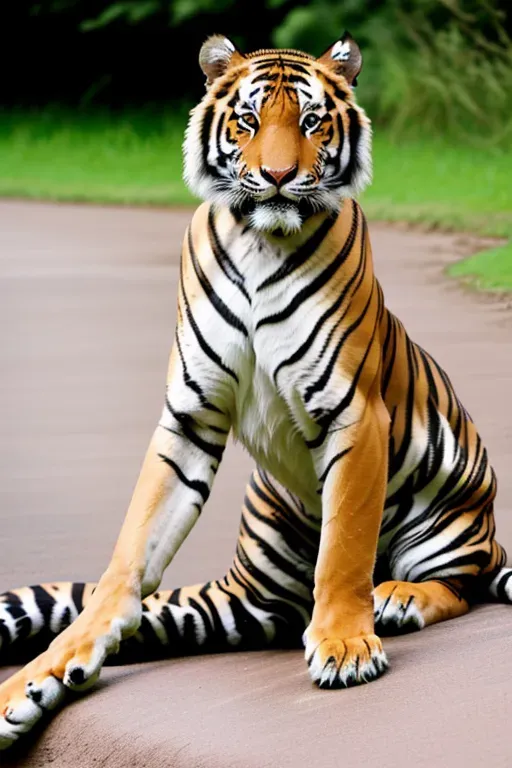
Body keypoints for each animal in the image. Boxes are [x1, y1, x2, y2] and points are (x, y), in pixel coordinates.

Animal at [0, 31, 511, 750]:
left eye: (312, 122)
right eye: (247, 120)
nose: (275, 176)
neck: (259, 243)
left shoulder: (352, 410)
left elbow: (344, 547)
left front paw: (344, 644)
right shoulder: (189, 416)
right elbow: (127, 558)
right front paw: (52, 665)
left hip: (449, 524)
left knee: (458, 581)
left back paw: (398, 597)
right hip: (247, 592)